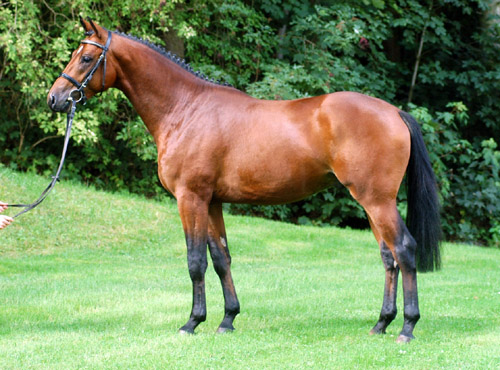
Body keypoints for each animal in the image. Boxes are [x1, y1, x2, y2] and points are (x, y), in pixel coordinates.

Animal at [46, 18, 438, 342]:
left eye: (85, 58)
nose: (55, 99)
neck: (186, 109)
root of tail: (394, 112)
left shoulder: (191, 198)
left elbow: (195, 261)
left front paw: (192, 322)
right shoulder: (213, 201)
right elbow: (221, 259)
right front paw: (227, 319)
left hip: (377, 200)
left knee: (404, 249)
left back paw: (407, 327)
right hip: (371, 204)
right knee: (388, 256)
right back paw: (381, 323)